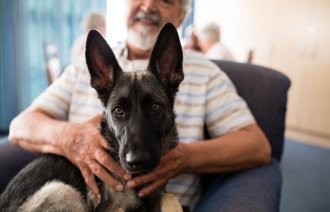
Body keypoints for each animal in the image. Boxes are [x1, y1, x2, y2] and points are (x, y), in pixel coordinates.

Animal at [0, 23, 184, 212]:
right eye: (118, 111)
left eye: (155, 107)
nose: (136, 161)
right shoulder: (108, 207)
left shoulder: (157, 194)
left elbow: (171, 198)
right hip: (62, 190)